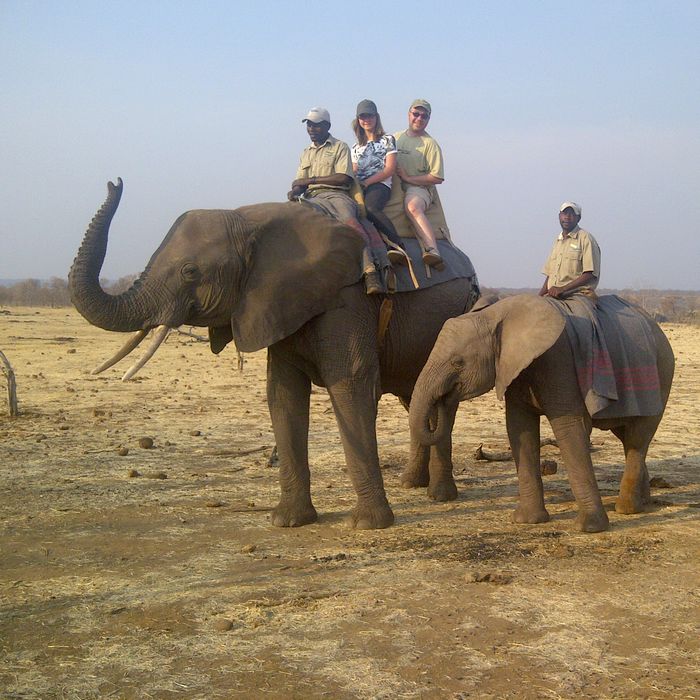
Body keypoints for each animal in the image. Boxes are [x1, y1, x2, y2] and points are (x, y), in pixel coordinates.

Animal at [68, 180, 478, 532]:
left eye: (190, 272)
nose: (115, 183)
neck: (250, 221)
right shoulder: (275, 303)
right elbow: (282, 393)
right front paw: (287, 521)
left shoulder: (347, 299)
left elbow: (351, 385)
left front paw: (367, 525)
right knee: (416, 398)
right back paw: (412, 484)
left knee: (439, 401)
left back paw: (439, 496)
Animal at [408, 294, 676, 532]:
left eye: (458, 362)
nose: (444, 397)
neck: (496, 315)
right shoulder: (515, 370)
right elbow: (520, 429)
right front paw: (527, 521)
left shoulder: (559, 361)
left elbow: (568, 429)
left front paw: (589, 528)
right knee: (627, 437)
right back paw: (643, 504)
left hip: (661, 375)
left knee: (638, 438)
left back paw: (627, 508)